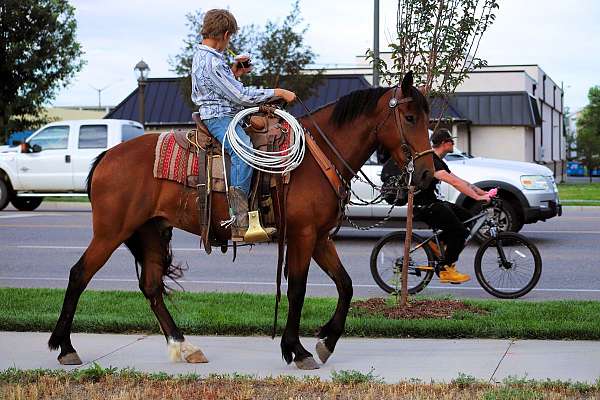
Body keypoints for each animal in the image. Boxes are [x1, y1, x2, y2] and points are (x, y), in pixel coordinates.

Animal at [47, 70, 432, 370]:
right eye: (411, 118)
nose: (428, 174)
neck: (315, 157)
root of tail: (106, 157)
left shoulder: (320, 237)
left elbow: (346, 285)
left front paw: (326, 342)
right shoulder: (303, 235)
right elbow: (297, 290)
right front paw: (297, 350)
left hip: (152, 231)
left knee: (152, 287)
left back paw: (185, 347)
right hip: (112, 231)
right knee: (79, 274)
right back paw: (65, 347)